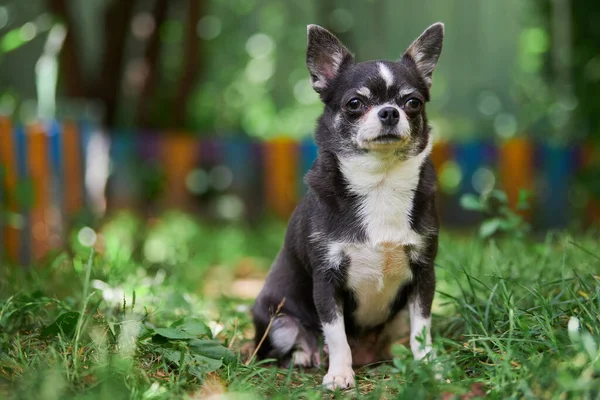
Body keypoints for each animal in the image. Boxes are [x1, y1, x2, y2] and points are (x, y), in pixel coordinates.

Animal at [251, 22, 442, 390]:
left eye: (412, 102)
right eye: (355, 103)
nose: (389, 112)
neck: (380, 183)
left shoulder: (424, 274)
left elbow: (422, 329)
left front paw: (429, 365)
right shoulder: (326, 281)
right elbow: (336, 334)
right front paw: (339, 373)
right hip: (279, 321)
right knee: (295, 342)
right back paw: (308, 356)